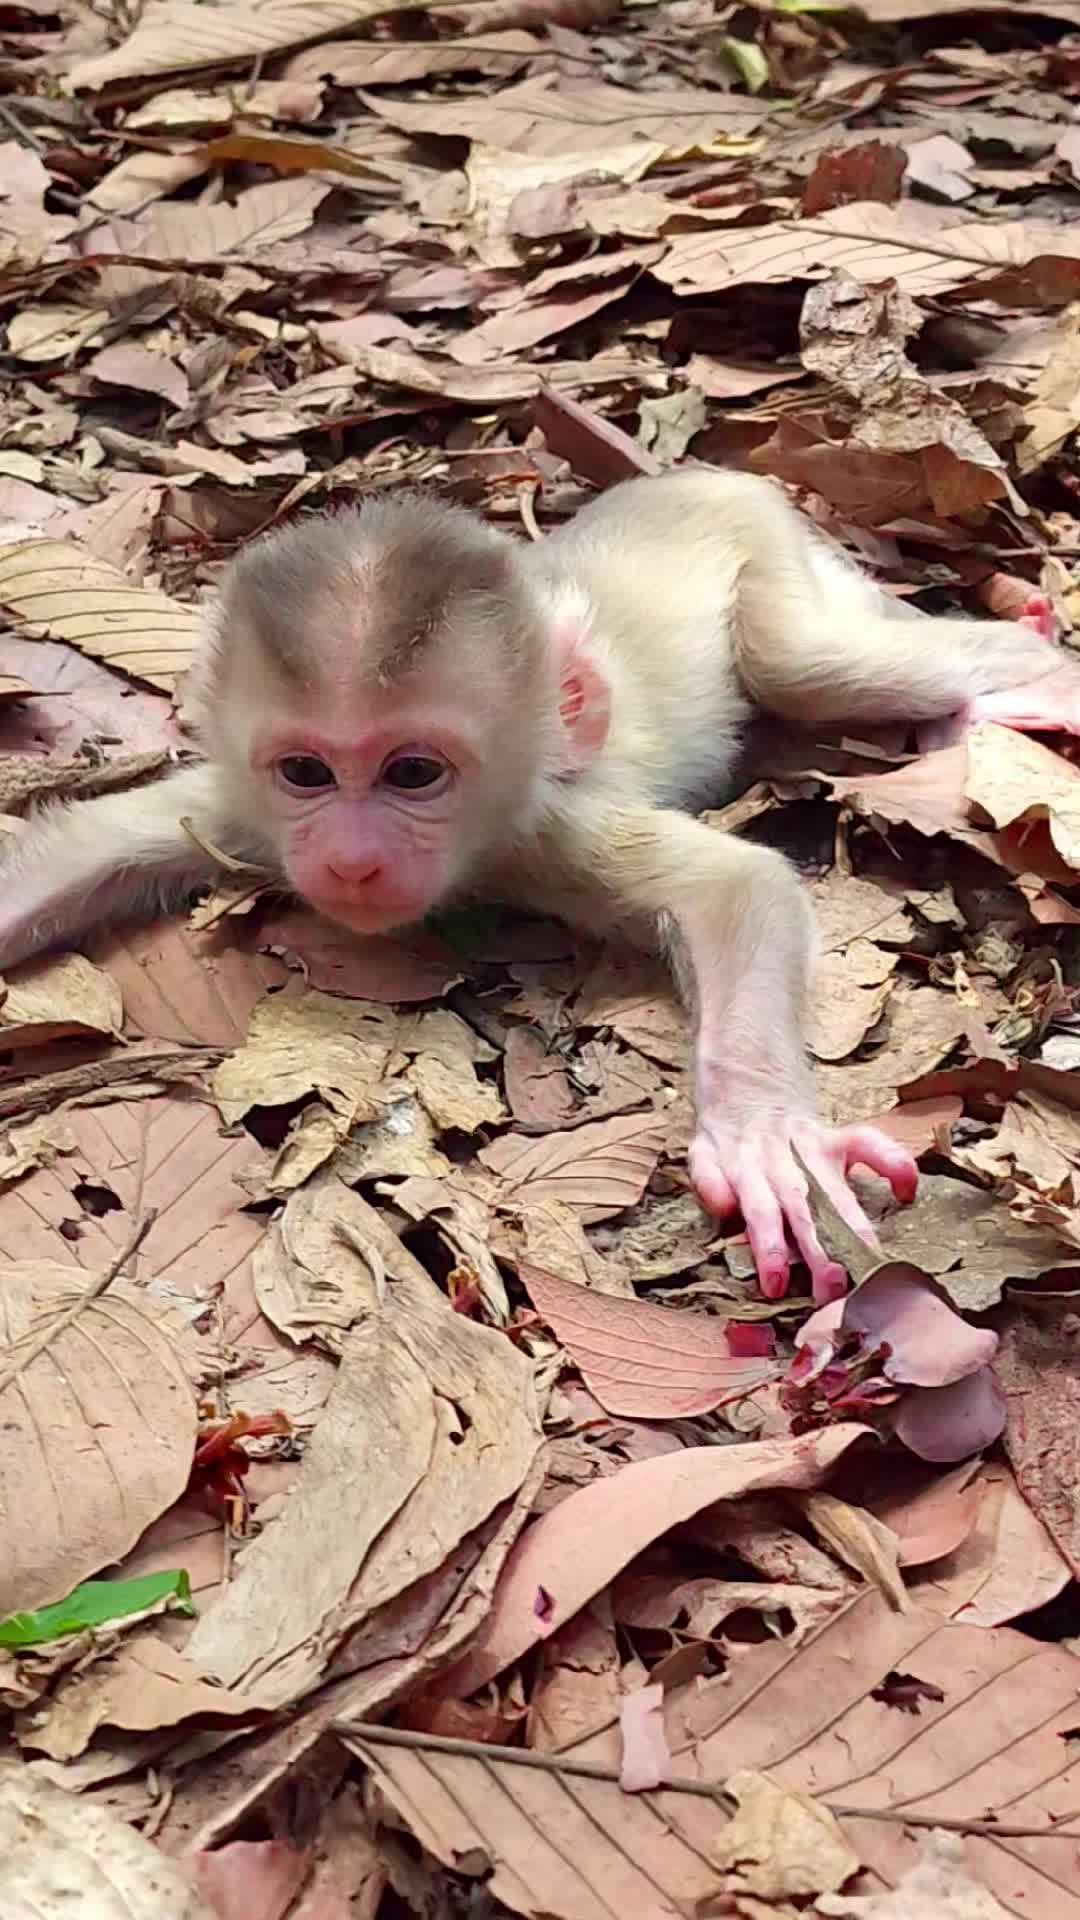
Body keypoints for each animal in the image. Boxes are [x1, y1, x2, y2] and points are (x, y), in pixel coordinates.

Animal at [0, 469, 1073, 1303]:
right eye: (306, 772)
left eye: (413, 774)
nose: (350, 860)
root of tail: (693, 477)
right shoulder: (237, 809)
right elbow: (81, 845)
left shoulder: (542, 830)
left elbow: (740, 885)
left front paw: (765, 1137)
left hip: (766, 549)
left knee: (804, 664)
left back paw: (1029, 669)